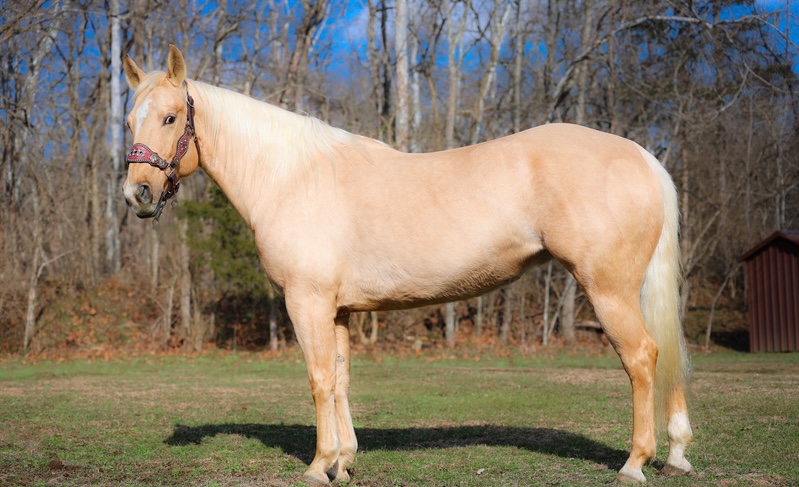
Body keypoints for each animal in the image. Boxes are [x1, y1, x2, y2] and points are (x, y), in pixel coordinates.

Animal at [122, 45, 694, 484]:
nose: (137, 195)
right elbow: (341, 379)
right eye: (129, 120)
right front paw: (345, 462)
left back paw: (634, 463)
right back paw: (677, 455)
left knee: (642, 357)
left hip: (609, 288)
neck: (292, 177)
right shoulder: (338, 310)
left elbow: (318, 379)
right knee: (668, 354)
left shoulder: (306, 302)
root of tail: (642, 156)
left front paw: (318, 466)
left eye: (170, 117)